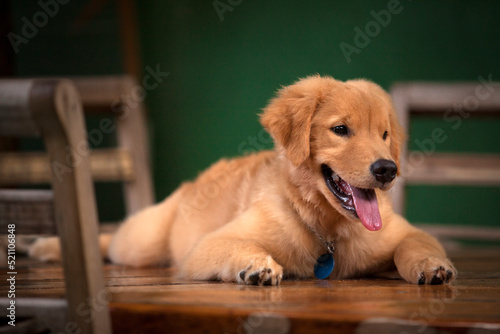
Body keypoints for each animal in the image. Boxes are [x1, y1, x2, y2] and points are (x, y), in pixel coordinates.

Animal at [28, 75, 458, 284]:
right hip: (142, 242)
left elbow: (415, 245)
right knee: (110, 239)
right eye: (340, 130)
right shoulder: (205, 245)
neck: (325, 228)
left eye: (384, 134)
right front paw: (255, 265)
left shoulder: (403, 232)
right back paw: (45, 245)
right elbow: (236, 246)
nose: (387, 169)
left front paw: (432, 266)